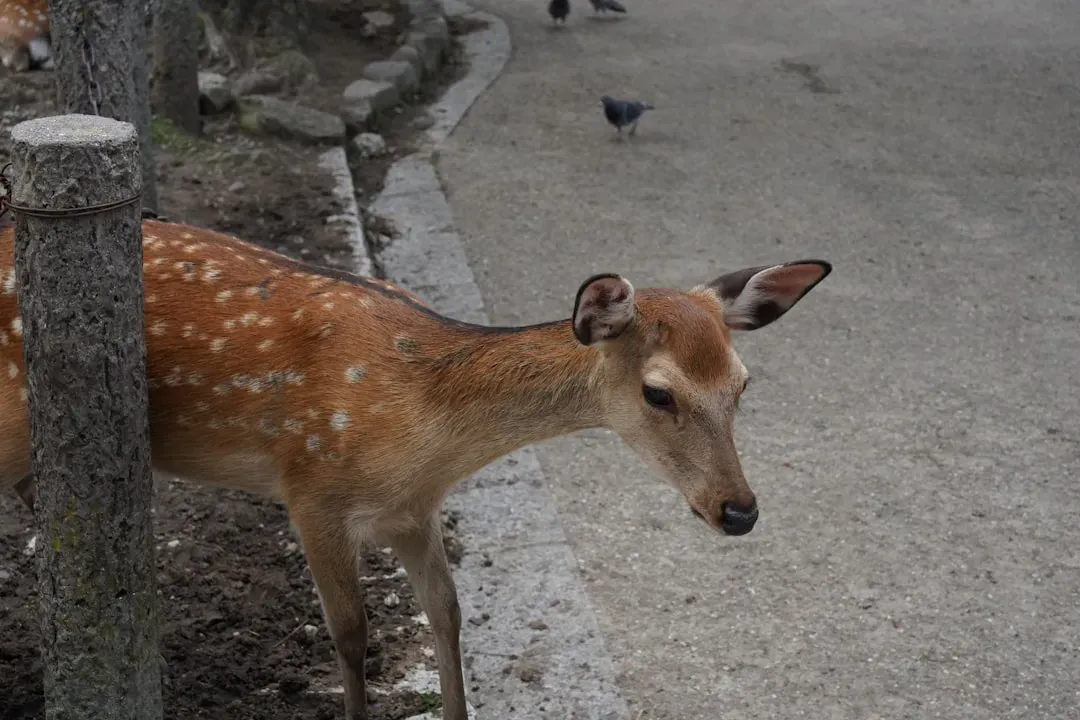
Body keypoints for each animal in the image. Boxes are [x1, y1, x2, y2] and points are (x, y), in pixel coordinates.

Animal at [0, 218, 831, 720]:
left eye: (743, 383)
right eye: (659, 392)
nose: (739, 509)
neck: (420, 430)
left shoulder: (413, 510)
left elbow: (447, 612)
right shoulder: (310, 489)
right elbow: (351, 633)